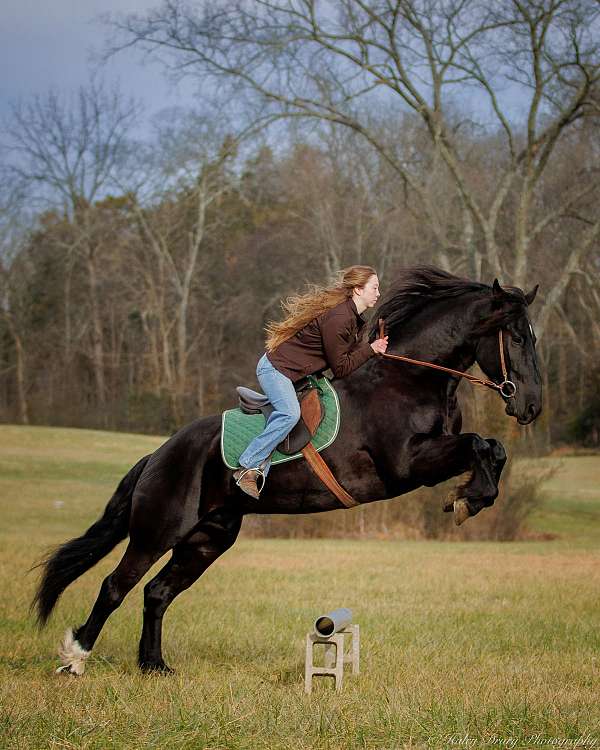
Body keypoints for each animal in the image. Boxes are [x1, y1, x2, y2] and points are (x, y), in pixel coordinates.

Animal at [36, 268, 544, 676]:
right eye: (518, 338)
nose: (532, 407)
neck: (409, 378)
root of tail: (158, 455)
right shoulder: (408, 463)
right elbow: (478, 444)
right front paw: (467, 500)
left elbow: (491, 447)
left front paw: (471, 497)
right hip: (158, 528)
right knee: (116, 586)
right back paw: (75, 658)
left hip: (208, 537)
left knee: (157, 592)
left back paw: (154, 666)